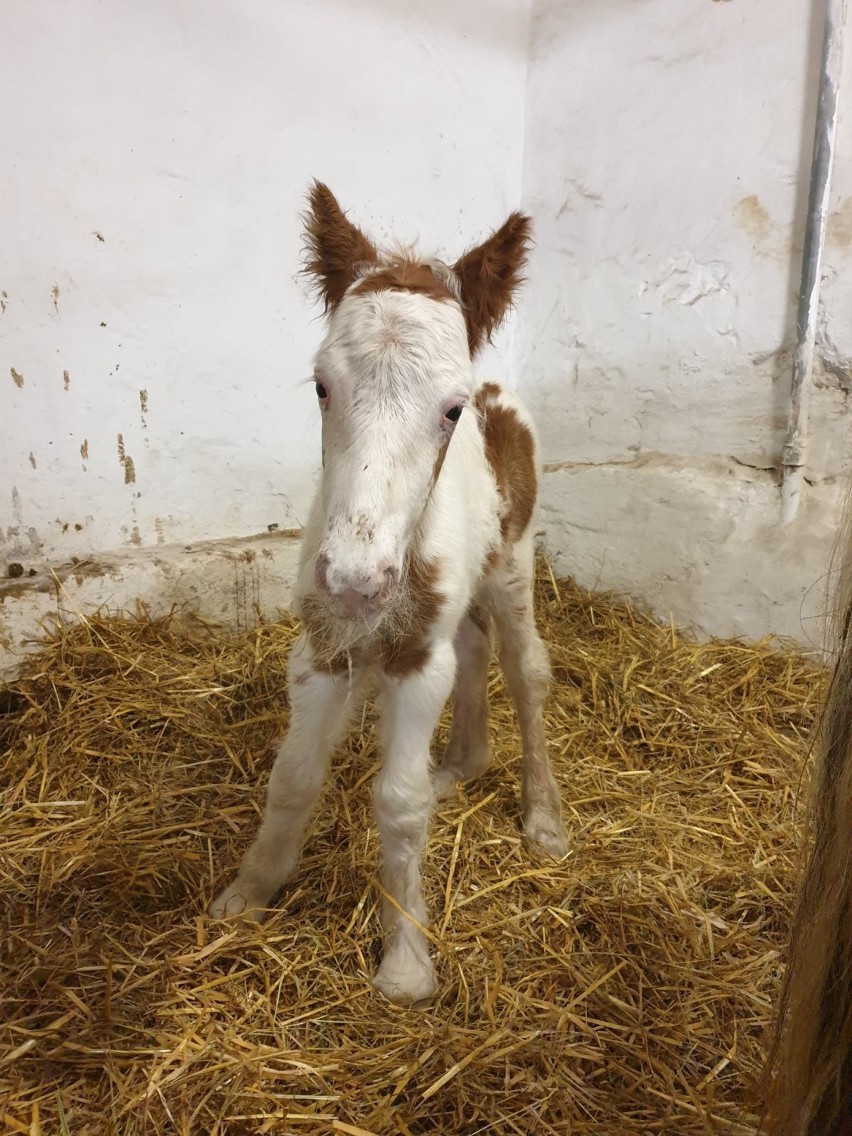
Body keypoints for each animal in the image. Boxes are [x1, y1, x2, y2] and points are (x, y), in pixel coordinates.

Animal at [211, 184, 568, 1004]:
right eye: (321, 385)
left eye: (450, 409)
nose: (355, 580)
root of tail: (500, 383)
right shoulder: (321, 649)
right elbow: (292, 779)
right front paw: (249, 894)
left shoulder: (416, 662)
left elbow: (399, 805)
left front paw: (406, 961)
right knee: (473, 647)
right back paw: (461, 765)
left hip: (512, 565)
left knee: (524, 669)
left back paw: (542, 816)